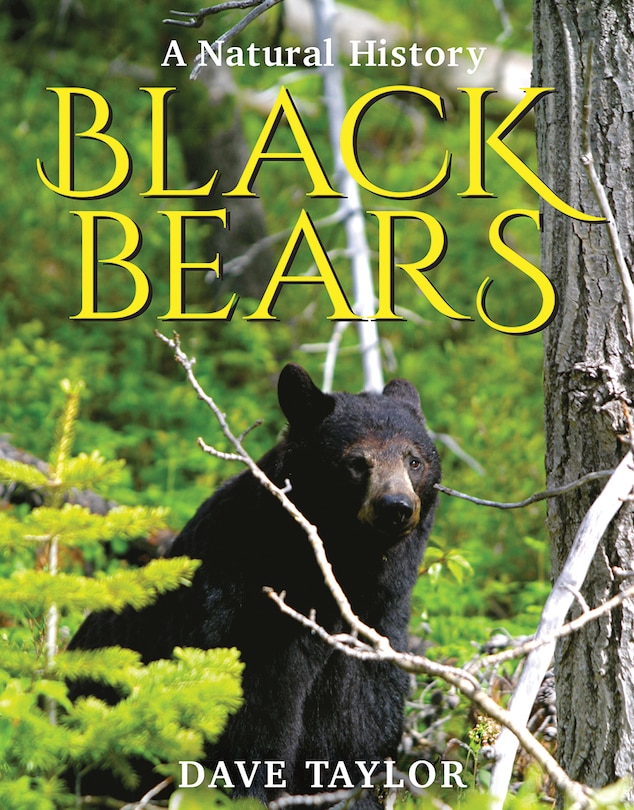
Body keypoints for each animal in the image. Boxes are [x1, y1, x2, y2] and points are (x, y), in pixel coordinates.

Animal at [67, 363, 441, 806]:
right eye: (356, 462)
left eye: (414, 460)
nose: (395, 506)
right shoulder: (245, 613)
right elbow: (250, 715)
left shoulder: (377, 621)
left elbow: (363, 715)